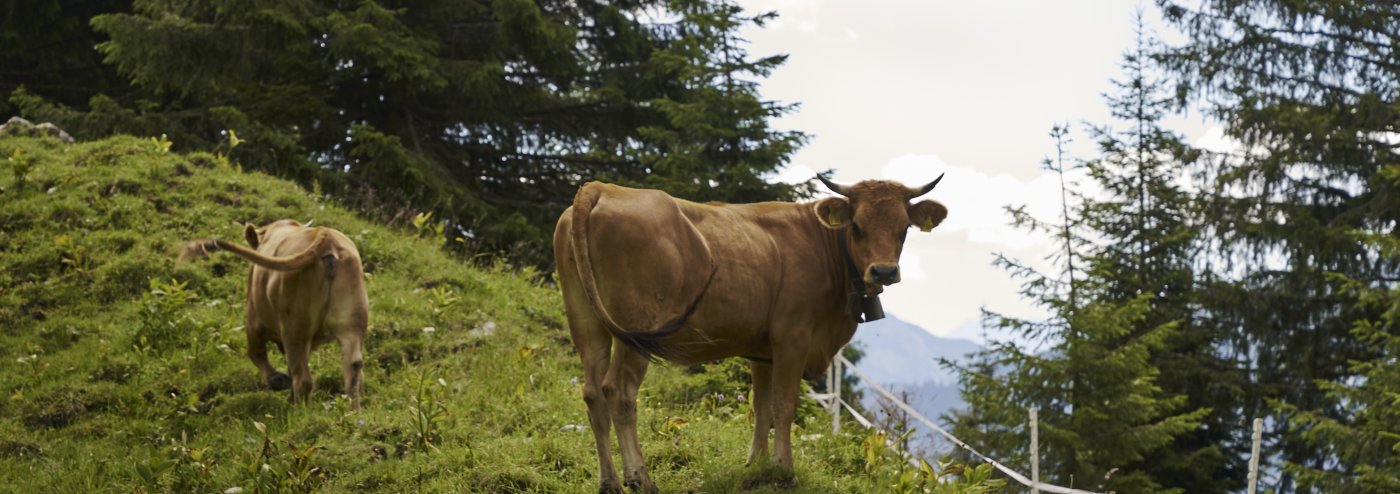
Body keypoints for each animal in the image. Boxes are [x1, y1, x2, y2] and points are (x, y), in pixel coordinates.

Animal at [177, 219, 369, 408]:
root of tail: (327, 237)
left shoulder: (254, 322)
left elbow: (257, 354)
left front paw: (277, 380)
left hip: (294, 328)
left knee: (302, 378)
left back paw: (297, 410)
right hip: (351, 324)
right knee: (353, 371)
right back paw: (352, 411)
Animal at [551, 174, 946, 489]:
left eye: (904, 229)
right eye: (857, 226)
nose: (884, 271)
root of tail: (601, 188)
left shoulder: (763, 351)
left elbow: (762, 407)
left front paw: (756, 465)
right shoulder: (792, 337)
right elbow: (784, 405)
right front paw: (784, 470)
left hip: (585, 321)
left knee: (592, 393)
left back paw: (609, 482)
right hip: (636, 330)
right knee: (619, 392)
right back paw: (639, 478)